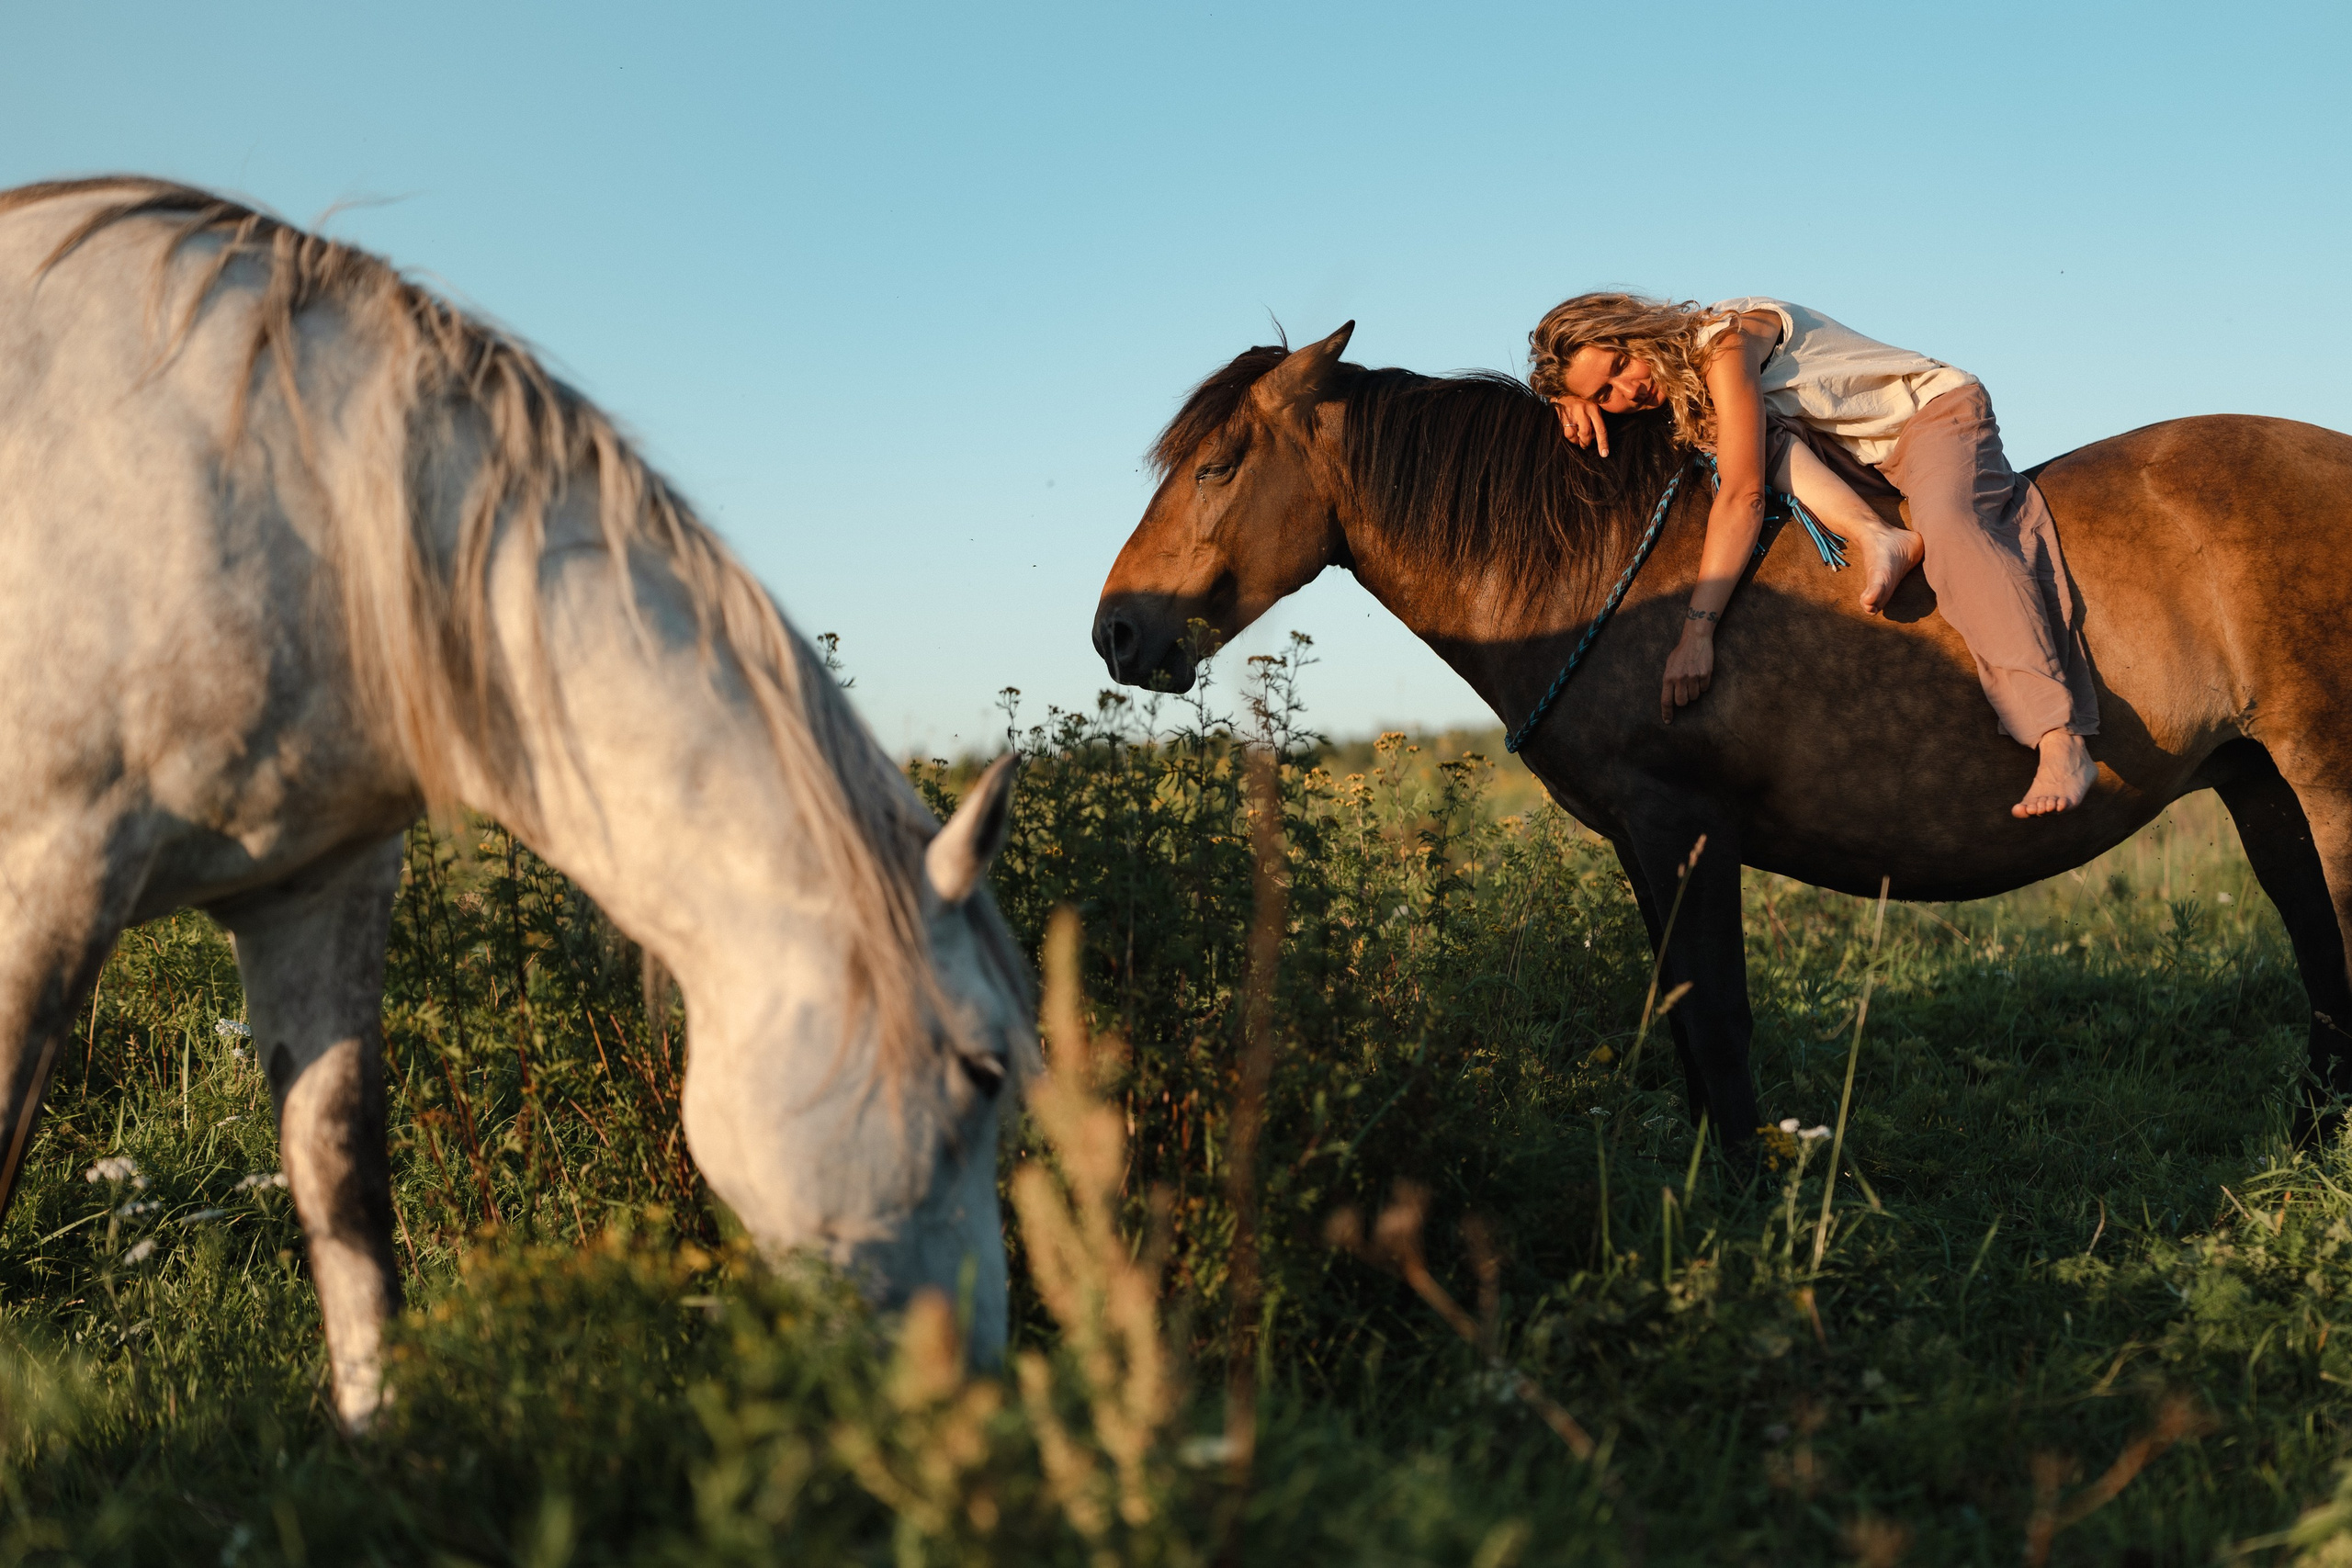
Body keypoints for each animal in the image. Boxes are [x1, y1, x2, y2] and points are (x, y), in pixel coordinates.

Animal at [0, 177, 1034, 1431]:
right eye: (983, 1072)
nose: (973, 1390)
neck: (293, 501)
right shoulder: (50, 880)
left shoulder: (318, 889)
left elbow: (346, 1193)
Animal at [1093, 323, 2352, 1153]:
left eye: (1215, 466)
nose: (1116, 631)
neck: (1597, 571)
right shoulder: (1645, 843)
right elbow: (1684, 1011)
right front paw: (1708, 1179)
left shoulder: (1684, 826)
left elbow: (1719, 1017)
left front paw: (1742, 1198)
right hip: (2259, 786)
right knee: (2318, 955)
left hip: (2323, 778)